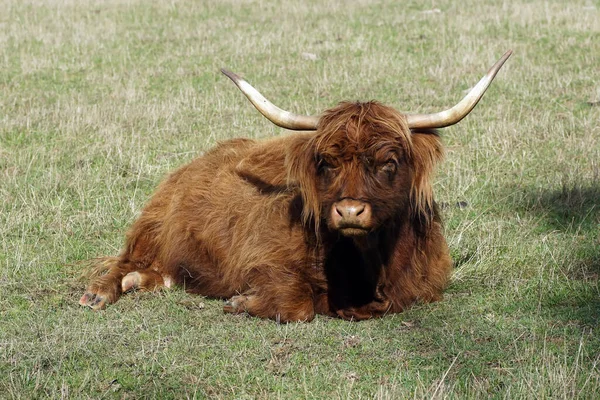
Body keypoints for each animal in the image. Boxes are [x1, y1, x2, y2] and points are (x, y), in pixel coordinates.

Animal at [78, 50, 510, 322]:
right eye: (327, 162)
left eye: (388, 162)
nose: (349, 211)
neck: (366, 265)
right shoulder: (264, 260)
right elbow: (298, 305)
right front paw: (241, 302)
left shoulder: (423, 285)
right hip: (150, 226)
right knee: (123, 261)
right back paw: (99, 293)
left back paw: (146, 281)